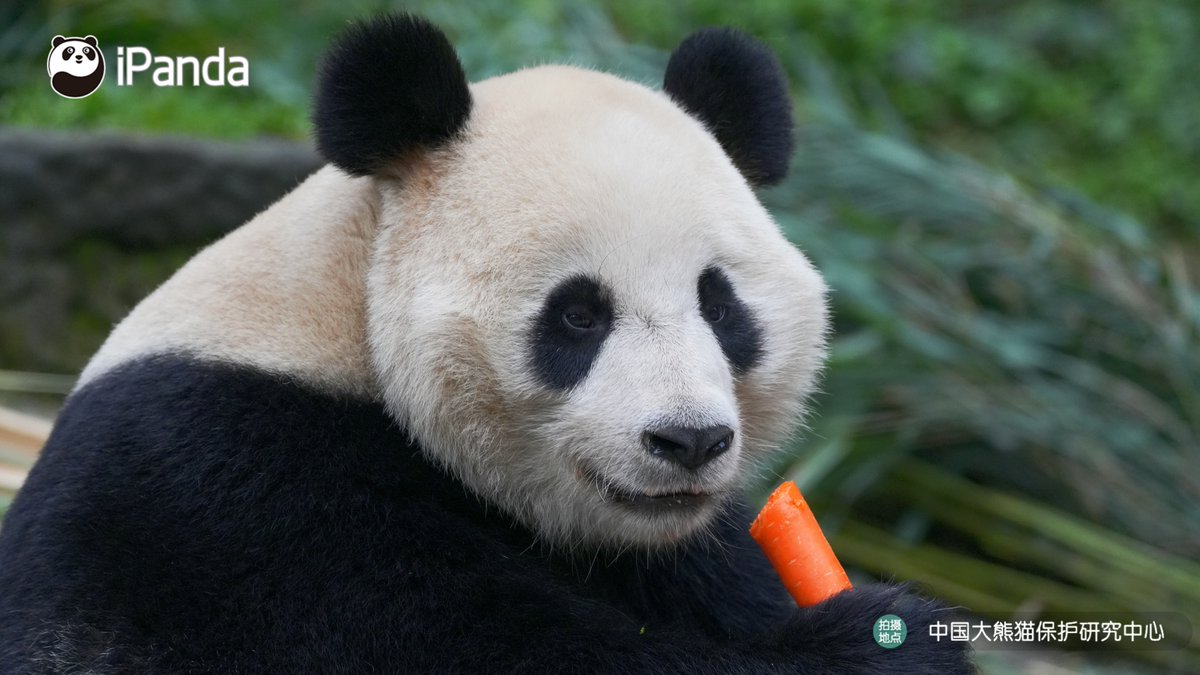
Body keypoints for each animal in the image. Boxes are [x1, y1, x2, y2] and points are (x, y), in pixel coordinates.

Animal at [0, 14, 972, 674]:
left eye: (719, 304)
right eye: (578, 314)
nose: (688, 440)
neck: (341, 319)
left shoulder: (684, 550)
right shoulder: (235, 500)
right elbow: (485, 647)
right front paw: (884, 642)